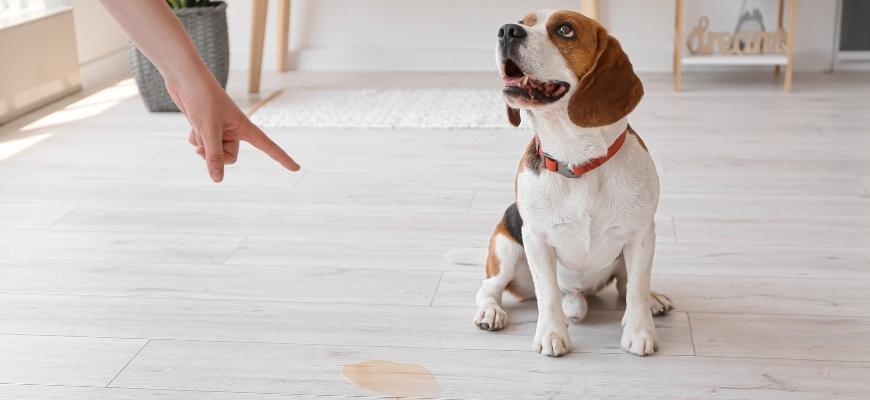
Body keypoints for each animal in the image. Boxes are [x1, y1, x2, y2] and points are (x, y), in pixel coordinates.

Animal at [476, 10, 676, 358]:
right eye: (523, 21)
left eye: (565, 30)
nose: (506, 31)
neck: (577, 160)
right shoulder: (536, 239)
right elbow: (547, 293)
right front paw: (551, 333)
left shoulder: (641, 235)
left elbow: (637, 287)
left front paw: (640, 331)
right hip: (506, 246)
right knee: (490, 288)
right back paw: (493, 311)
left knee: (625, 285)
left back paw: (650, 300)